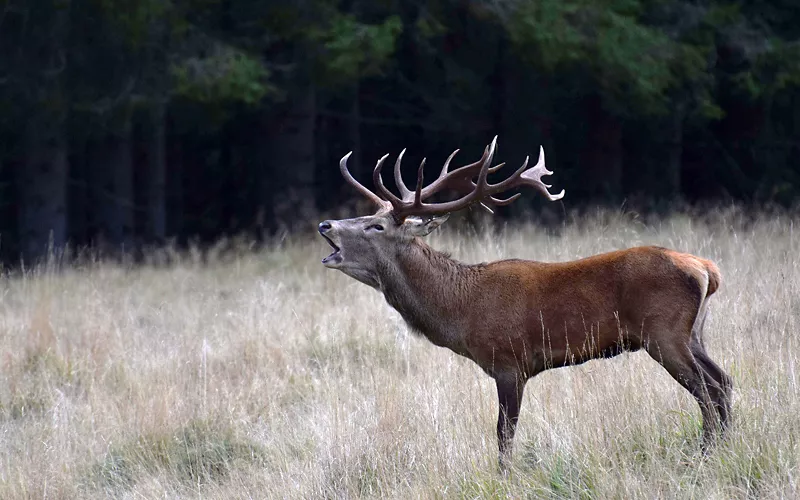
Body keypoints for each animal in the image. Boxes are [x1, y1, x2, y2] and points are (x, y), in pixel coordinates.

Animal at [318, 137, 732, 468]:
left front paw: (504, 476)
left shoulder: (510, 361)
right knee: (724, 382)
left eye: (376, 226)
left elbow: (504, 434)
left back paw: (706, 456)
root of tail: (707, 270)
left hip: (663, 331)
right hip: (693, 333)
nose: (325, 224)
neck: (461, 309)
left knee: (709, 391)